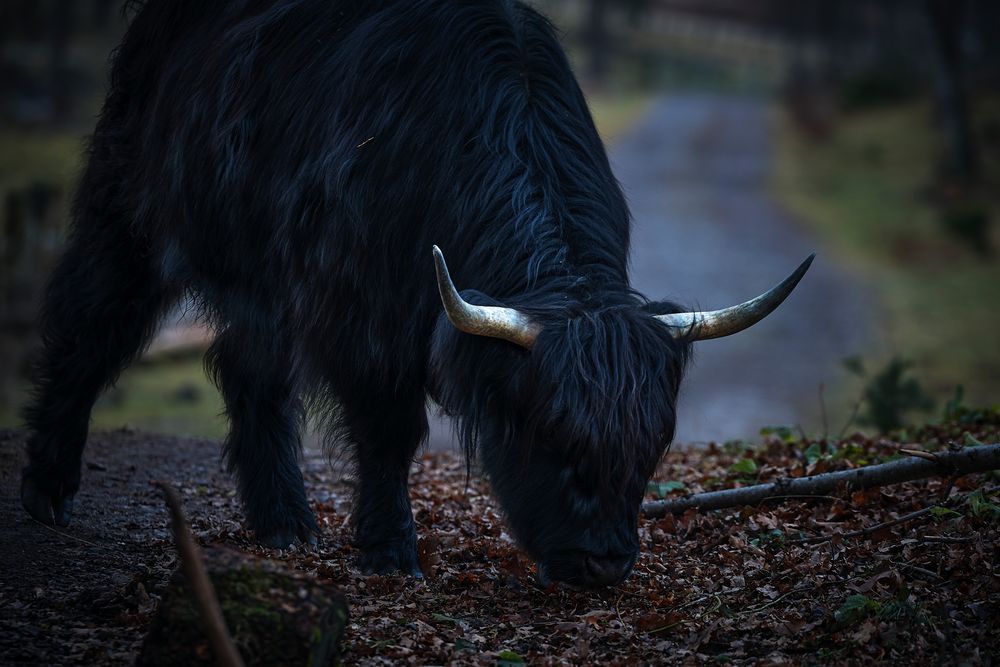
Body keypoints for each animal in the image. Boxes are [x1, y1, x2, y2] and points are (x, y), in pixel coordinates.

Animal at [19, 0, 808, 588]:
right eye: (550, 431)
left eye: (654, 442)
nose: (605, 563)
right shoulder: (361, 313)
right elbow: (389, 431)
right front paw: (391, 552)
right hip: (132, 208)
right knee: (92, 325)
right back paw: (49, 490)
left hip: (261, 276)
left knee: (250, 372)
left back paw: (284, 524)